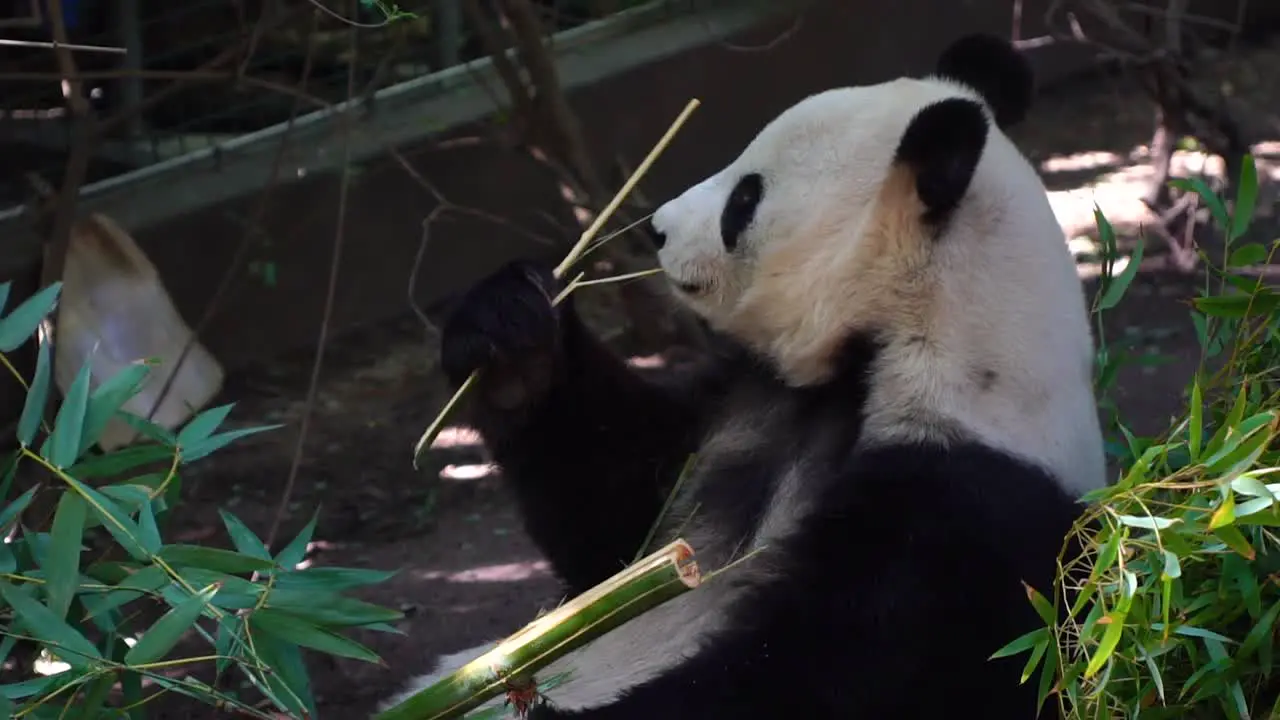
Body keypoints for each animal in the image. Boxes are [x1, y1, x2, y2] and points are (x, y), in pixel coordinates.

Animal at [381, 30, 1111, 712]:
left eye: (745, 200)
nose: (657, 229)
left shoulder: (964, 496)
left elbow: (825, 670)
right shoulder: (743, 401)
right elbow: (612, 534)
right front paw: (511, 338)